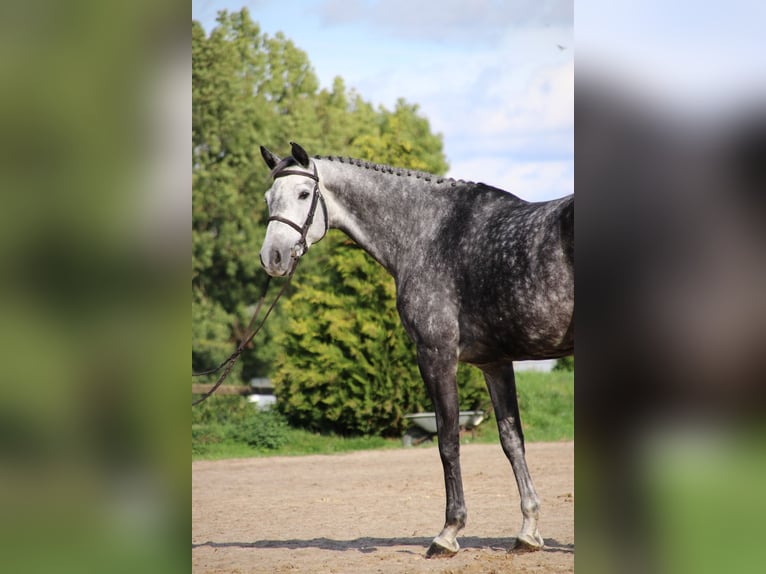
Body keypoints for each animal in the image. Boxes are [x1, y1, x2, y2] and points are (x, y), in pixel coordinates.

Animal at [260, 143, 576, 560]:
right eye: (269, 198)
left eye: (302, 194)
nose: (273, 257)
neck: (429, 233)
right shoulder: (495, 363)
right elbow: (512, 441)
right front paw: (528, 530)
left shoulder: (435, 354)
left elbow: (448, 441)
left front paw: (448, 533)